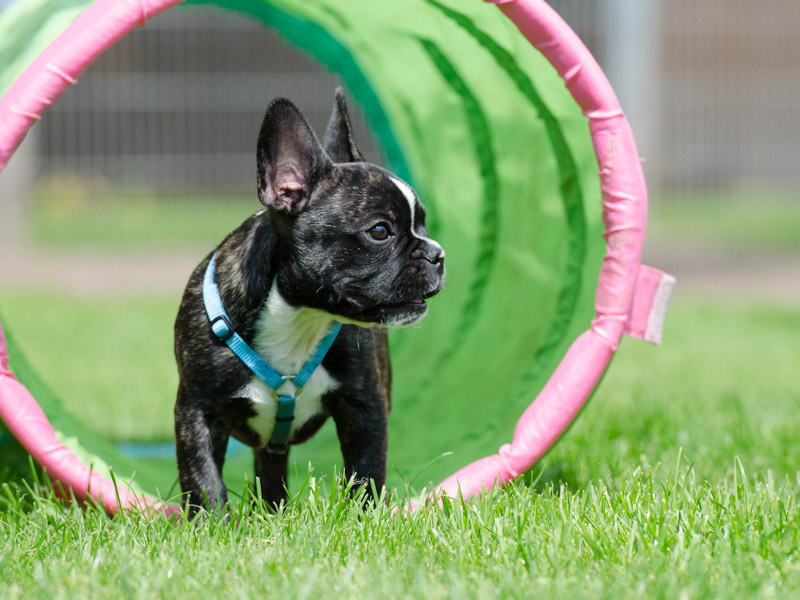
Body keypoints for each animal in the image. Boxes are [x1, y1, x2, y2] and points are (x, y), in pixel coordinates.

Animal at [173, 90, 444, 516]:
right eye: (379, 231)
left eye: (423, 225)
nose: (437, 253)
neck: (299, 316)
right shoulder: (197, 413)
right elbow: (203, 480)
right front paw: (211, 524)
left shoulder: (365, 407)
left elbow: (367, 471)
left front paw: (364, 519)